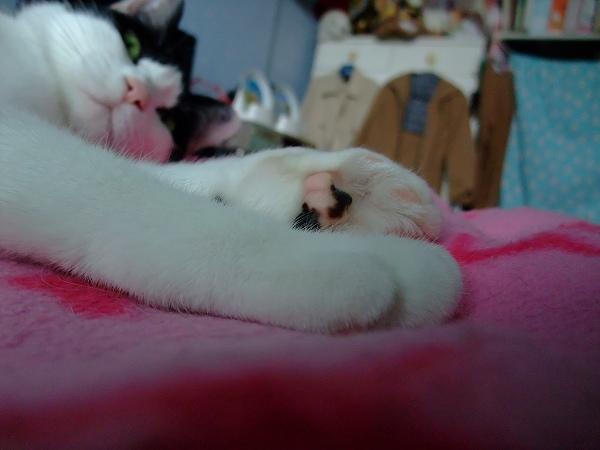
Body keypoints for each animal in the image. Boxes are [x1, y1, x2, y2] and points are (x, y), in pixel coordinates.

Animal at [0, 2, 462, 332]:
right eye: (131, 45)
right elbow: (129, 195)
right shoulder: (18, 137)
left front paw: (349, 190)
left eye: (168, 118)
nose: (136, 93)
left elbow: (175, 172)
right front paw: (358, 261)